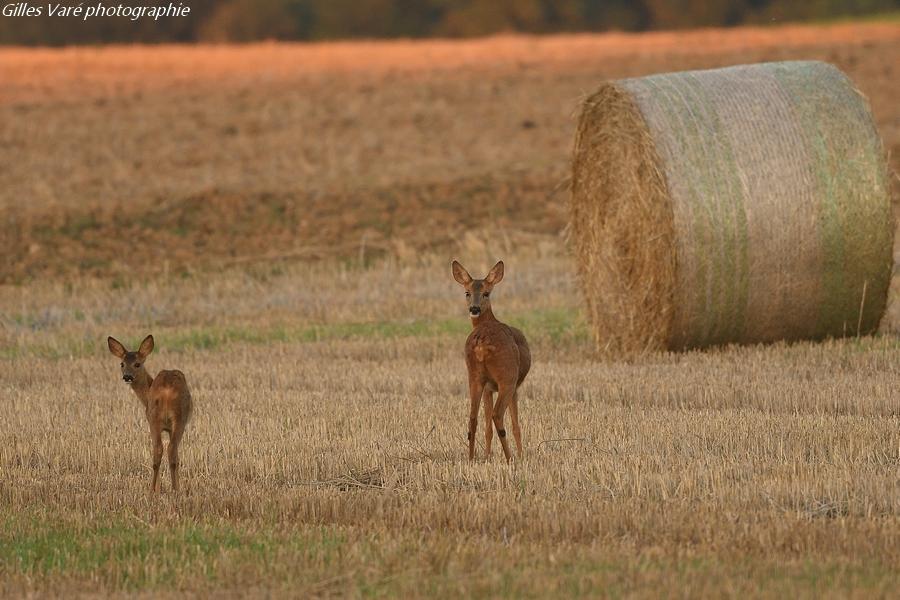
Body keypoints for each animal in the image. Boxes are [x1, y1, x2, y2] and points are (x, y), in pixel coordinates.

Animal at [109, 332, 193, 492]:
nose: (127, 376)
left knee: (162, 450)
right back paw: (167, 490)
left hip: (156, 417)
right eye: (122, 364)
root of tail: (166, 390)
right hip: (174, 418)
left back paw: (156, 490)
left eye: (137, 364)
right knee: (167, 449)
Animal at [454, 260, 532, 462]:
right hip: (507, 376)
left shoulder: (488, 387)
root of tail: (481, 343)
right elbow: (516, 423)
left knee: (473, 417)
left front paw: (487, 456)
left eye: (486, 293)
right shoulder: (514, 386)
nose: (474, 309)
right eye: (467, 292)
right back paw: (510, 458)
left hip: (474, 376)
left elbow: (487, 427)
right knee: (498, 416)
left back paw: (471, 459)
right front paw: (521, 455)